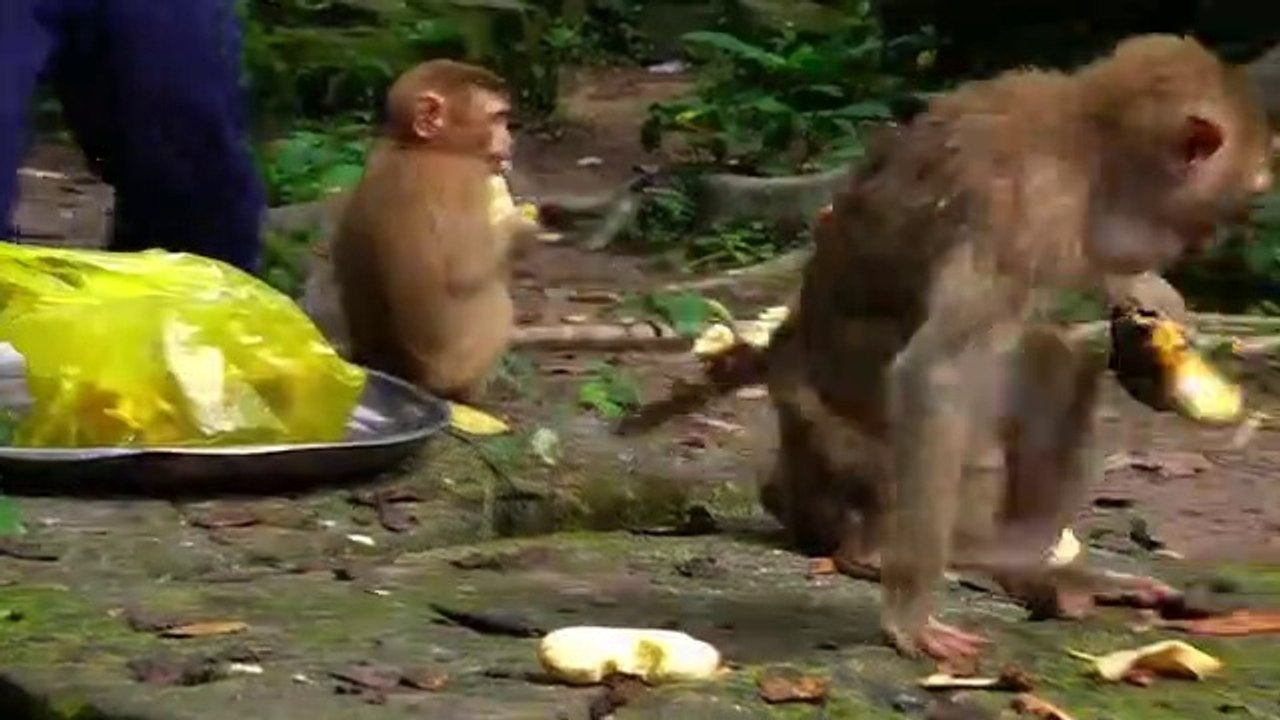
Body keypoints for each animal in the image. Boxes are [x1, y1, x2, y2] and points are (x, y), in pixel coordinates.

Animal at [330, 60, 542, 403]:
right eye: (497, 118)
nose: (509, 140)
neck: (413, 145)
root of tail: (407, 375)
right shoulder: (463, 176)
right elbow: (467, 271)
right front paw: (521, 228)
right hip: (458, 366)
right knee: (497, 299)